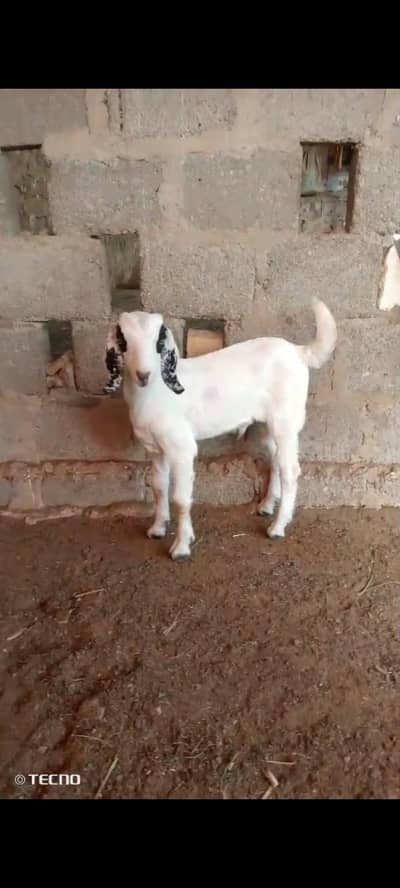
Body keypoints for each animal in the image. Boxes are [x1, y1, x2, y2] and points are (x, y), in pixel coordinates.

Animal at [104, 298, 337, 561]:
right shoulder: (156, 449)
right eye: (123, 340)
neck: (156, 391)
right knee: (276, 460)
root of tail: (299, 352)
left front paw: (182, 546)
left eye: (158, 342)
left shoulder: (181, 448)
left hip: (286, 422)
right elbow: (159, 488)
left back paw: (278, 527)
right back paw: (267, 506)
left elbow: (180, 499)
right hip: (266, 427)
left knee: (291, 470)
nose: (143, 375)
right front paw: (157, 528)